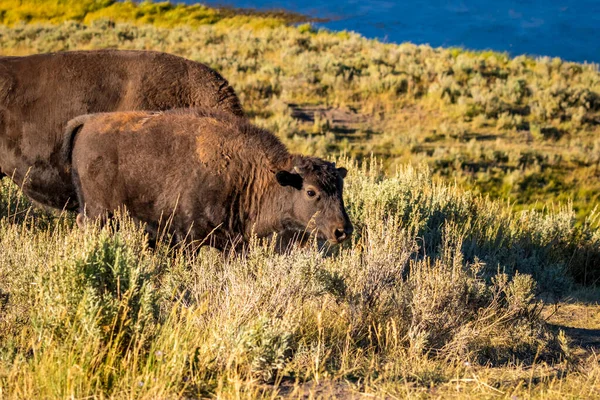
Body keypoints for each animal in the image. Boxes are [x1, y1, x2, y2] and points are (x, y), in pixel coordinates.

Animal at [62, 108, 352, 250]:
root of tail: (87, 122)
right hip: (99, 213)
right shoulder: (187, 237)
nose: (343, 231)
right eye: (311, 191)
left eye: (340, 189)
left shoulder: (235, 244)